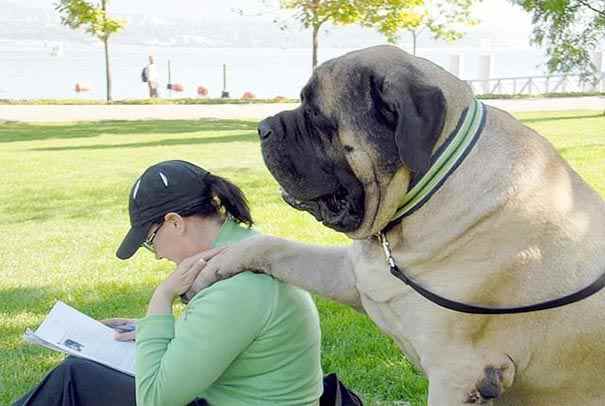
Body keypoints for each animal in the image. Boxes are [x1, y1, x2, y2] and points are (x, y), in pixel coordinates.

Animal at [192, 46, 604, 404]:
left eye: (317, 116)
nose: (263, 127)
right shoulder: (357, 278)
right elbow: (277, 247)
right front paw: (214, 264)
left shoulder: (458, 374)